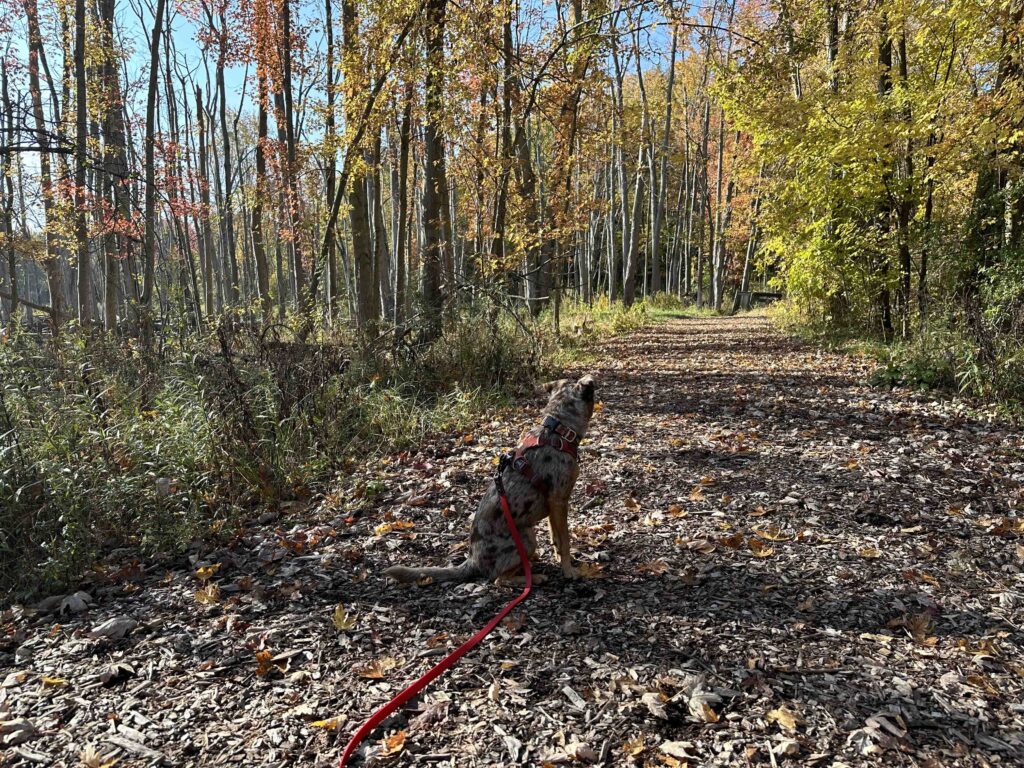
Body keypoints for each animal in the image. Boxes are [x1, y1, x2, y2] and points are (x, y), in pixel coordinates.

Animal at [385, 376, 598, 585]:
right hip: (527, 538)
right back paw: (534, 577)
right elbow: (565, 539)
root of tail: (472, 561)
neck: (559, 430)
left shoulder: (553, 505)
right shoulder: (559, 501)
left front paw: (559, 559)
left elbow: (556, 538)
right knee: (498, 579)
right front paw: (569, 570)